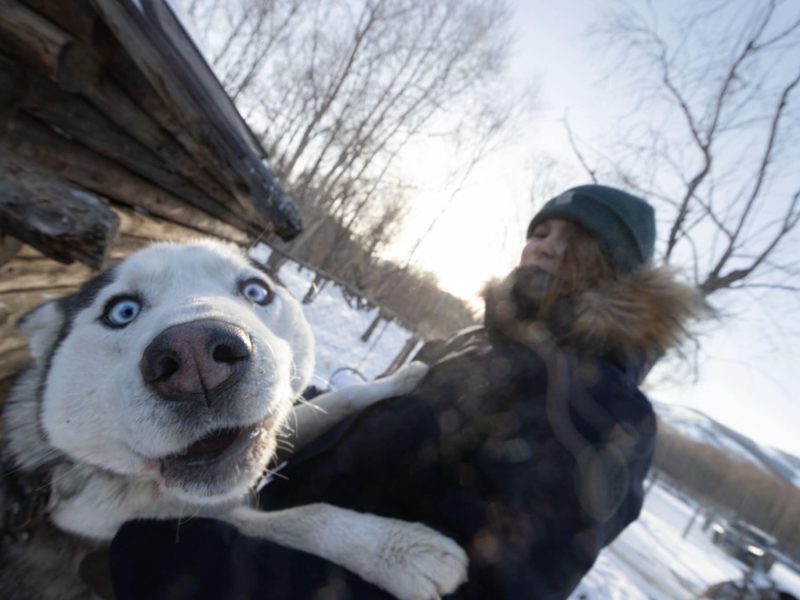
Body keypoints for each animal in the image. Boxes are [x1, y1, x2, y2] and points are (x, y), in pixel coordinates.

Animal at [0, 241, 466, 600]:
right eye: (123, 311)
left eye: (255, 290)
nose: (196, 360)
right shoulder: (121, 521)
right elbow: (290, 520)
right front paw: (396, 548)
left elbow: (333, 402)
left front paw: (398, 379)